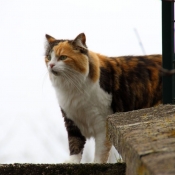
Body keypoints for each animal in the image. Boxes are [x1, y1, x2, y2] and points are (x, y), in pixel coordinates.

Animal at [44, 32, 175, 163]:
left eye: (63, 57)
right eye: (48, 57)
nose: (51, 65)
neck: (73, 89)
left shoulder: (102, 123)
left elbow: (100, 152)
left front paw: (96, 164)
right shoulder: (71, 121)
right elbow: (75, 145)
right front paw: (72, 162)